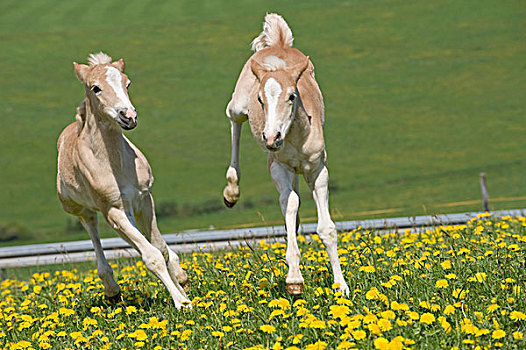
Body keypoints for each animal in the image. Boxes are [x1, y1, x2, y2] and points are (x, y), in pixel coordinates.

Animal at [56, 52, 192, 308]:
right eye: (96, 88)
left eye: (127, 84)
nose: (128, 116)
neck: (115, 164)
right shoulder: (114, 210)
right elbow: (152, 256)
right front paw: (182, 302)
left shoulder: (144, 199)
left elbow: (160, 248)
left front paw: (183, 287)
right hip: (81, 209)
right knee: (92, 228)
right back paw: (112, 290)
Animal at [223, 14, 350, 296]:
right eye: (260, 99)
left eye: (292, 96)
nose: (271, 138)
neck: (296, 137)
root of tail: (279, 42)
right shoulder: (277, 166)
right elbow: (290, 202)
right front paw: (294, 279)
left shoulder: (318, 169)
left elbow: (327, 228)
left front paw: (341, 286)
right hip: (239, 106)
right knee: (233, 118)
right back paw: (232, 190)